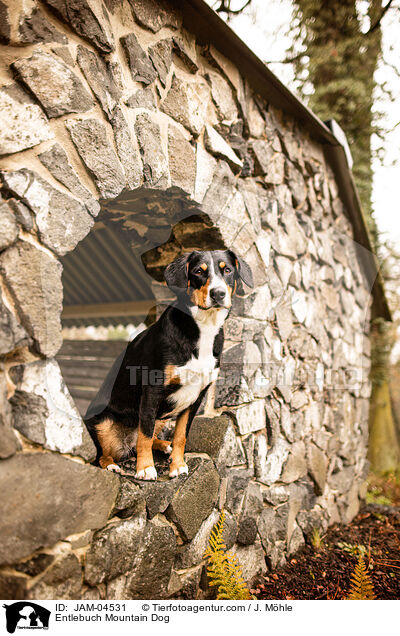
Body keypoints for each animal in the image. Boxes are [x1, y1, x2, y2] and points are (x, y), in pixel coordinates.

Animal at [85, 251, 253, 480]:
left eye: (227, 269)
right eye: (198, 271)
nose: (217, 293)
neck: (204, 328)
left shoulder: (196, 397)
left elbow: (181, 435)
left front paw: (178, 465)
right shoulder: (152, 391)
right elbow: (144, 435)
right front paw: (145, 468)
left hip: (162, 417)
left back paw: (165, 445)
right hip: (103, 422)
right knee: (103, 455)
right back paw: (112, 465)